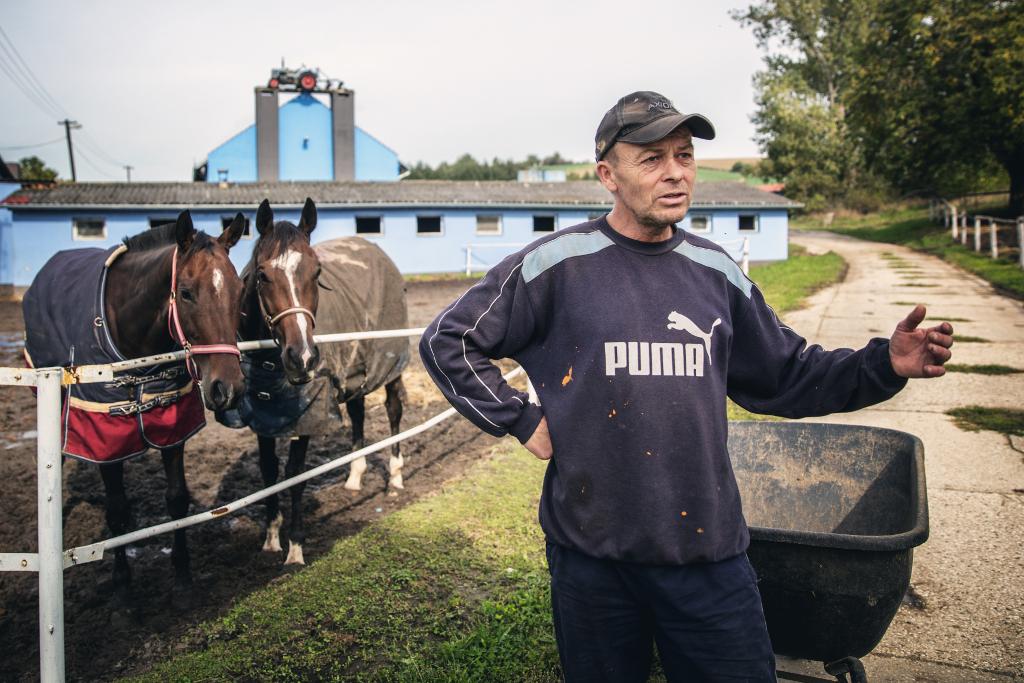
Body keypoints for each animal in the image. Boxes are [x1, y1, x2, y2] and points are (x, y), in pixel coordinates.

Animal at [23, 209, 246, 610]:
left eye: (239, 291)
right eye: (186, 293)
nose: (228, 389)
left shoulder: (172, 427)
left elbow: (177, 501)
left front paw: (183, 579)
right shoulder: (104, 435)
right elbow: (118, 514)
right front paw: (124, 592)